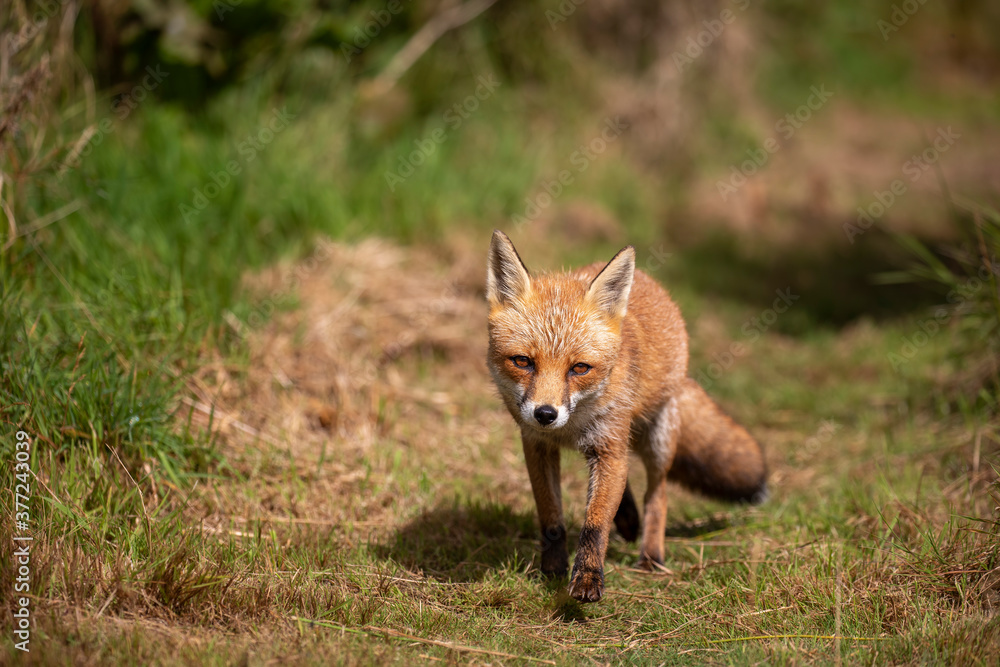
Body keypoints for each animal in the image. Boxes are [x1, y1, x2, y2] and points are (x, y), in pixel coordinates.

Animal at [484, 231, 764, 604]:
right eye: (522, 362)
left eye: (580, 368)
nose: (545, 414)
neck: (570, 429)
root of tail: (651, 283)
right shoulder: (538, 446)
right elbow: (551, 518)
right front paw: (552, 570)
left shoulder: (608, 447)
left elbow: (595, 523)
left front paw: (588, 577)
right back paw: (629, 520)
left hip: (657, 441)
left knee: (657, 495)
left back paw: (651, 555)